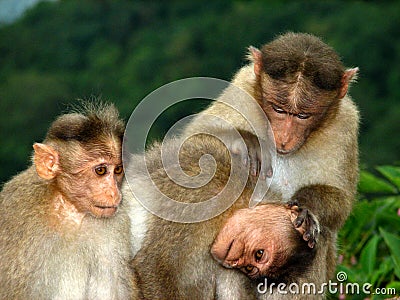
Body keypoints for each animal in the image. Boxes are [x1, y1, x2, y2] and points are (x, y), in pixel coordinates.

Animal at [182, 31, 362, 296]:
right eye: (278, 109)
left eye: (302, 115)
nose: (284, 138)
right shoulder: (242, 87)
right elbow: (191, 140)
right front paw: (246, 141)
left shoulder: (346, 122)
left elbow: (342, 200)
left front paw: (306, 206)